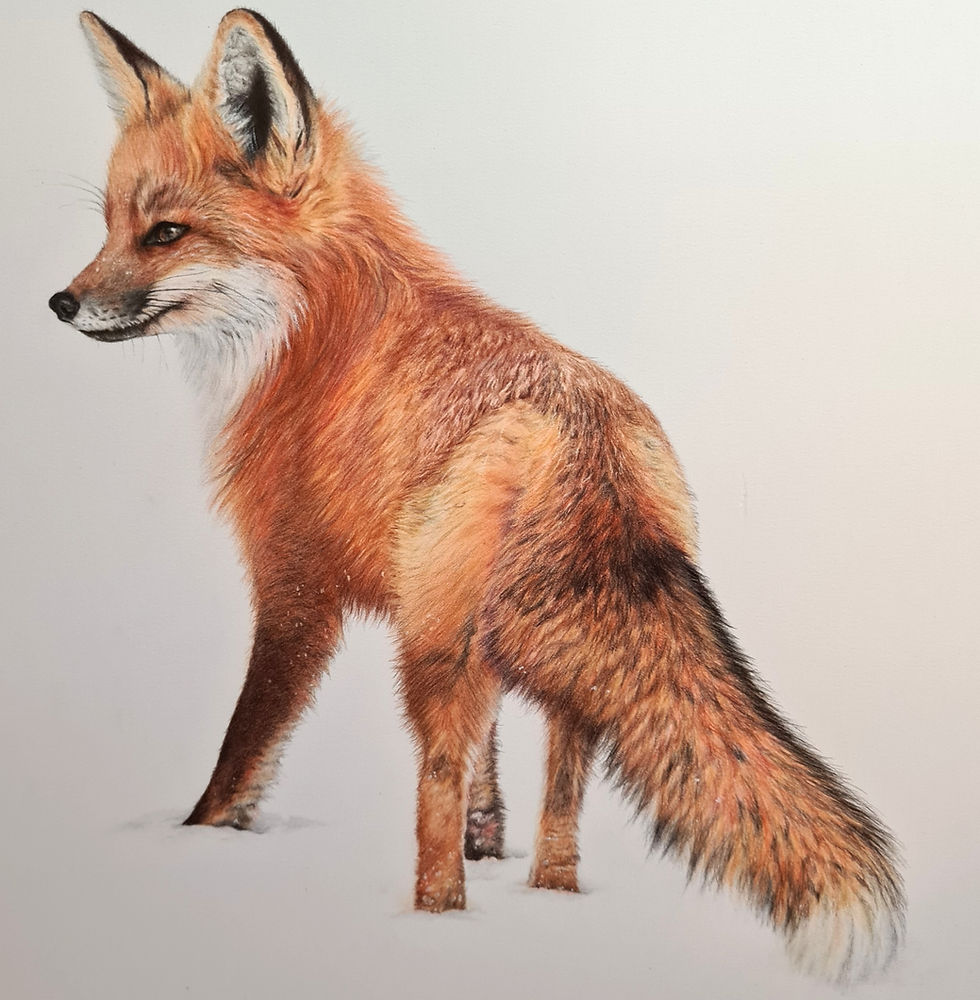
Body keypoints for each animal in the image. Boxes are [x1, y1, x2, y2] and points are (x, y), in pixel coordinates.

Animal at [50, 9, 904, 983]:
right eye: (110, 225)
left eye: (165, 234)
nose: (60, 302)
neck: (310, 330)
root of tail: (587, 437)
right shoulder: (469, 651)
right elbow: (495, 766)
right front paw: (489, 842)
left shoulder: (296, 586)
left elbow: (245, 748)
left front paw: (195, 842)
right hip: (528, 664)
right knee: (564, 793)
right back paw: (547, 894)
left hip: (427, 654)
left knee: (435, 785)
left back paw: (436, 922)